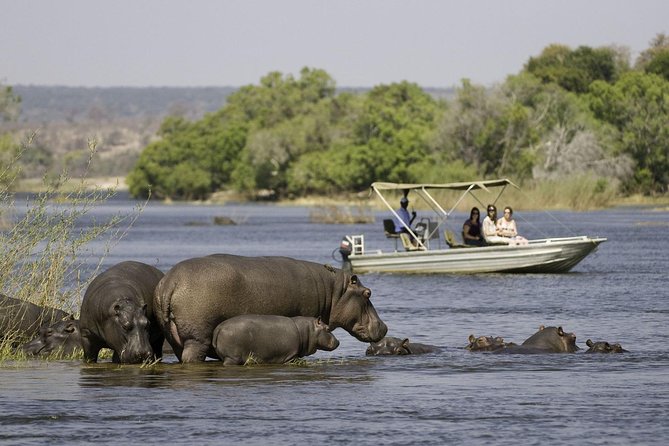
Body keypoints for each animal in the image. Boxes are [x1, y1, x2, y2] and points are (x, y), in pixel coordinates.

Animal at [155, 254, 388, 362]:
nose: (385, 327)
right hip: (197, 339)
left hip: (176, 338)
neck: (333, 291)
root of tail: (170, 282)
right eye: (368, 293)